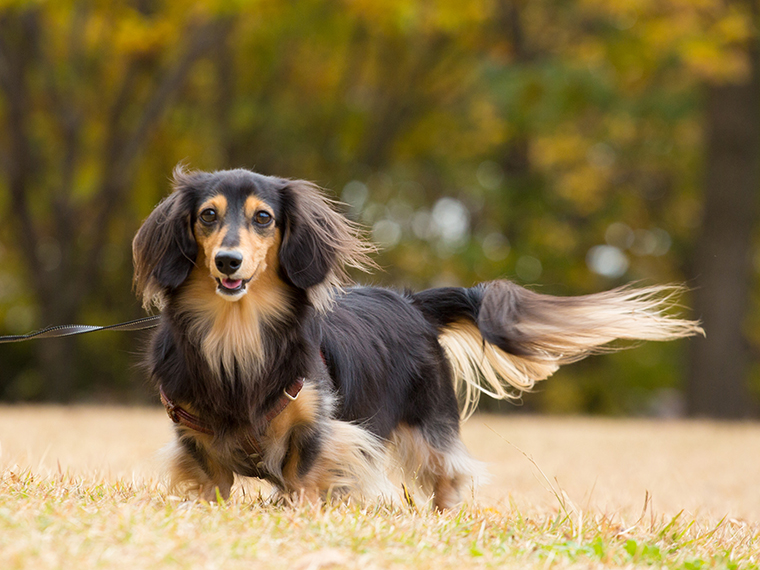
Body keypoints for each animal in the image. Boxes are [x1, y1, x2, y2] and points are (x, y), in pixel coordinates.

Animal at [134, 166, 704, 508]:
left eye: (264, 218)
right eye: (208, 215)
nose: (228, 261)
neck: (237, 335)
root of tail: (412, 304)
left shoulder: (318, 433)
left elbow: (305, 481)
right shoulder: (198, 445)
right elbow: (212, 488)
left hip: (431, 427)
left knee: (451, 476)